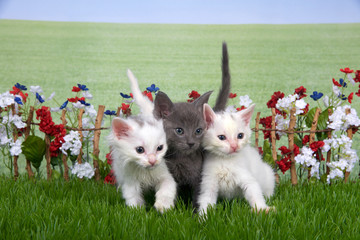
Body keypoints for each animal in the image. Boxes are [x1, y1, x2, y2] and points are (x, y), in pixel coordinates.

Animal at [108, 69, 179, 212]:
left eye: (160, 148)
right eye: (140, 150)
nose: (152, 160)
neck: (145, 172)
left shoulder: (166, 175)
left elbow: (167, 189)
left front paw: (163, 206)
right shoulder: (130, 181)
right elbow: (132, 198)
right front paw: (137, 211)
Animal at [153, 42, 229, 207]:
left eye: (198, 130)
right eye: (179, 131)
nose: (191, 143)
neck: (181, 159)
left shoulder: (199, 177)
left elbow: (198, 196)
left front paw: (194, 212)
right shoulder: (170, 173)